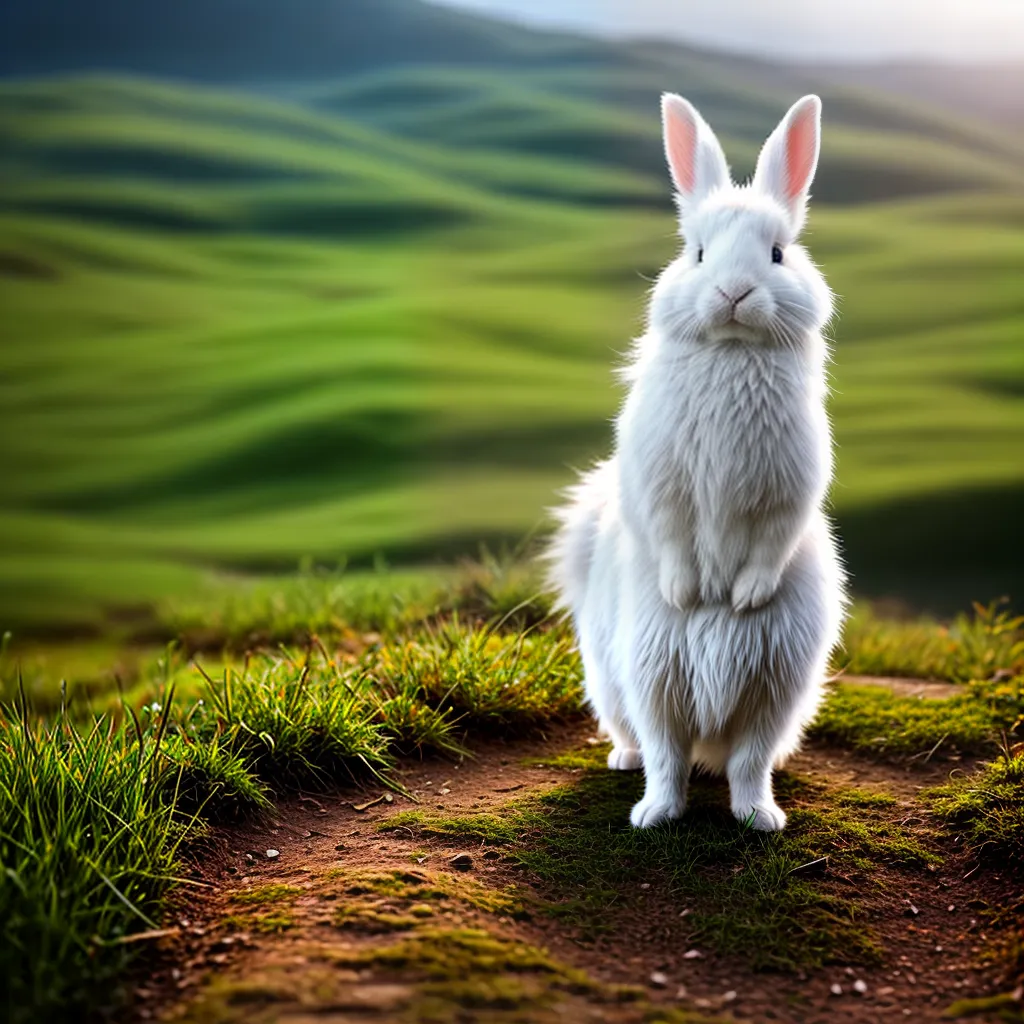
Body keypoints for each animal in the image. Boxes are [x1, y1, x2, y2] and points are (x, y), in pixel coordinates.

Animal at [547, 94, 846, 832]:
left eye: (778, 253)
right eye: (697, 252)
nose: (735, 293)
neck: (731, 350)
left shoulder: (790, 490)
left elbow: (768, 544)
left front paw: (741, 597)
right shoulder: (663, 484)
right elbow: (673, 534)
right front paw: (690, 592)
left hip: (773, 686)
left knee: (745, 761)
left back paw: (759, 816)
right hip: (647, 672)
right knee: (661, 752)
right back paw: (648, 805)